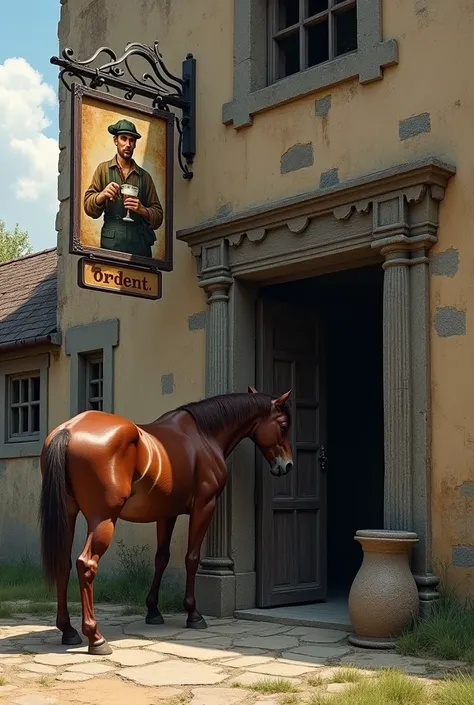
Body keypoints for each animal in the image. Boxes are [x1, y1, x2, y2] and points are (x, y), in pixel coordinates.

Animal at [39, 384, 292, 656]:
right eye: (283, 425)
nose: (287, 465)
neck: (204, 436)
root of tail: (68, 429)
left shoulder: (166, 514)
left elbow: (161, 558)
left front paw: (153, 611)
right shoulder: (204, 507)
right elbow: (192, 558)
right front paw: (193, 614)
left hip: (68, 514)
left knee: (63, 564)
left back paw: (68, 630)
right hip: (103, 518)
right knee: (86, 565)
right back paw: (95, 637)